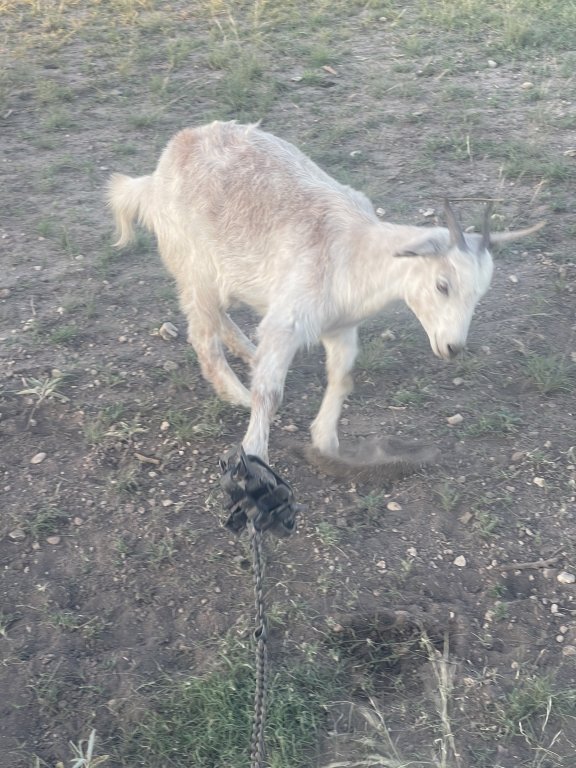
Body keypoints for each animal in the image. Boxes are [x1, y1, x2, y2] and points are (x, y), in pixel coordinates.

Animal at [108, 120, 543, 464]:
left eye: (479, 295)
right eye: (442, 284)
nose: (453, 348)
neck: (351, 250)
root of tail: (156, 175)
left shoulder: (339, 327)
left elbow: (342, 377)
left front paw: (326, 441)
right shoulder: (288, 320)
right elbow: (270, 392)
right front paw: (255, 452)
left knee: (220, 318)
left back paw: (247, 351)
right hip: (194, 266)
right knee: (202, 335)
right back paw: (238, 393)